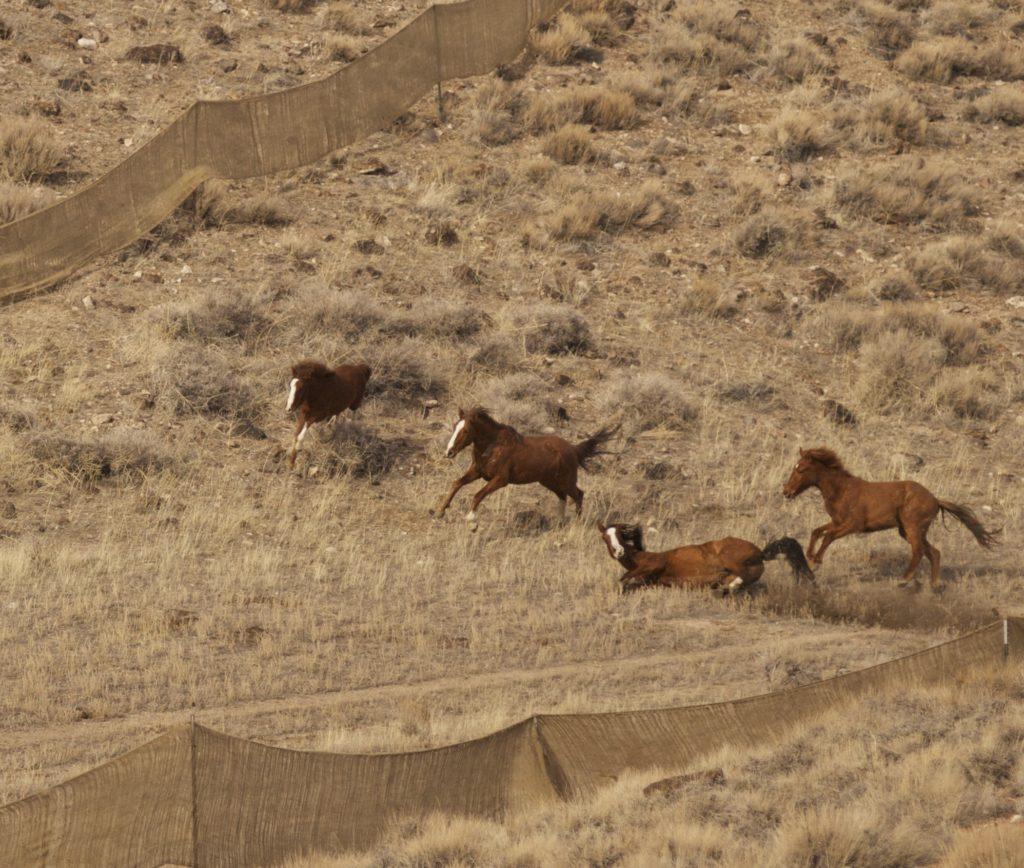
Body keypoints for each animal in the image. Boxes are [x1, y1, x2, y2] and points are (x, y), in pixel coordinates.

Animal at [432, 405, 614, 522]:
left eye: (466, 431)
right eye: (455, 426)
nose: (449, 452)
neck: (493, 445)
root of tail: (574, 449)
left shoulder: (500, 480)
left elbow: (478, 494)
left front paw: (471, 520)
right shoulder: (478, 472)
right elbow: (457, 483)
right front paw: (440, 511)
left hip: (566, 481)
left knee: (578, 494)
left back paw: (576, 523)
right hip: (549, 481)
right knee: (563, 497)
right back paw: (560, 523)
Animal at [598, 517, 811, 593]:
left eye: (620, 534)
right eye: (605, 538)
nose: (619, 551)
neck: (641, 557)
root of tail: (760, 552)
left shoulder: (655, 564)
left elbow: (623, 578)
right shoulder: (651, 580)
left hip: (730, 559)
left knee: (742, 575)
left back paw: (724, 587)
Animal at [782, 444, 999, 593]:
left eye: (801, 469)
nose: (786, 492)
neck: (841, 490)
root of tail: (936, 500)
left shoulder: (852, 525)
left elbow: (827, 537)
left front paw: (815, 562)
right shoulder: (837, 522)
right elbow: (816, 531)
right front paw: (810, 559)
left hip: (912, 528)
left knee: (919, 551)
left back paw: (904, 579)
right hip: (908, 530)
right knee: (934, 553)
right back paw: (934, 585)